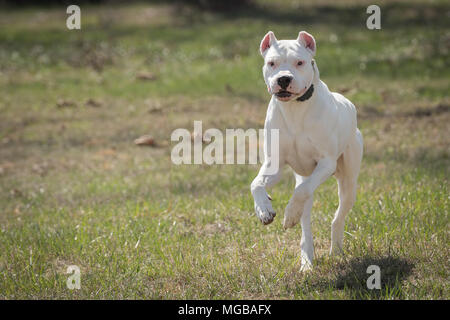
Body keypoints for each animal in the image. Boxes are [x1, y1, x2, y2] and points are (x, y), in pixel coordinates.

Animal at [251, 30, 364, 270]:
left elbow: (302, 192)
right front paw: (264, 210)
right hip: (307, 178)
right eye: (271, 63)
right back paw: (306, 259)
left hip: (348, 183)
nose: (283, 79)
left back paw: (336, 250)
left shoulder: (326, 163)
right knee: (306, 216)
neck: (295, 107)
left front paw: (288, 214)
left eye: (300, 62)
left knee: (335, 216)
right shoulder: (273, 165)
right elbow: (256, 184)